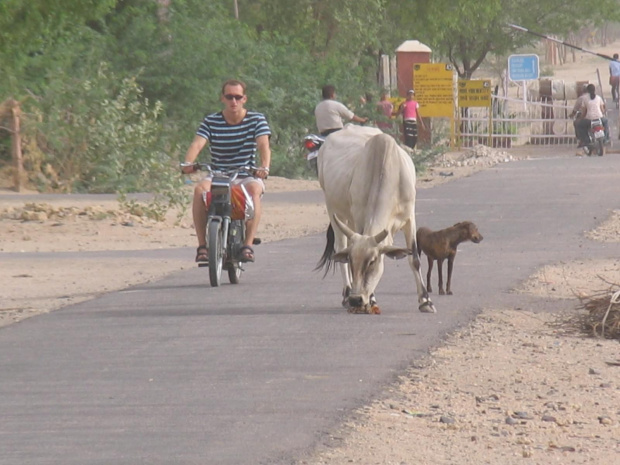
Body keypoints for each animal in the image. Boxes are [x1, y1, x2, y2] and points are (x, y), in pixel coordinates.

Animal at [314, 123, 436, 314]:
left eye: (372, 261)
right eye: (351, 260)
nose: (356, 299)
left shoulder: (409, 218)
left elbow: (414, 258)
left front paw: (426, 301)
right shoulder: (359, 218)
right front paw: (370, 299)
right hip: (334, 209)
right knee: (340, 247)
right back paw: (346, 293)